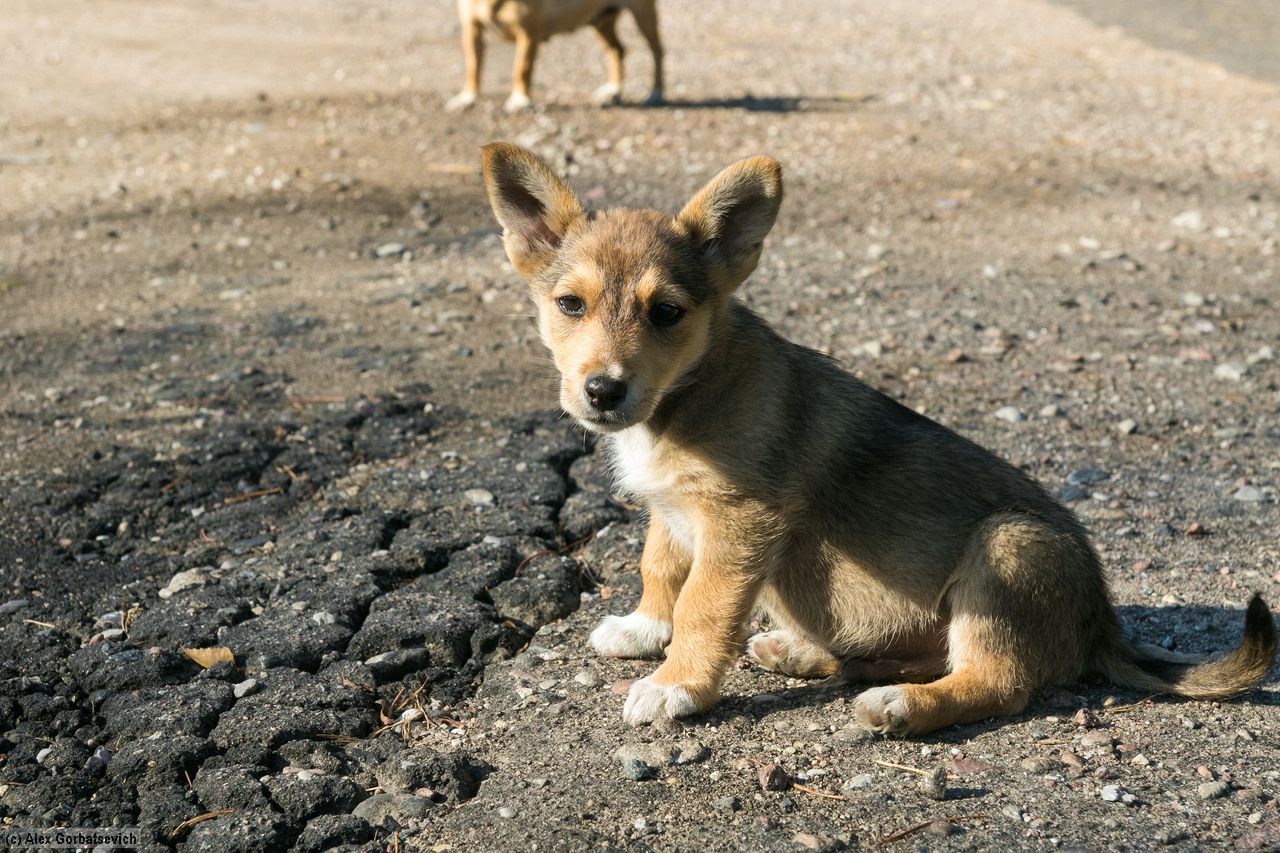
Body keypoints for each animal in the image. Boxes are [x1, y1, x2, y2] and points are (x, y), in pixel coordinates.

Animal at [447, 0, 664, 113]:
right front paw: (467, 97)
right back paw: (613, 90)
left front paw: (520, 99)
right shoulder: (471, 30)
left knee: (657, 51)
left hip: (644, 13)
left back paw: (656, 93)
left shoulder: (528, 33)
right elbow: (473, 66)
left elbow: (522, 69)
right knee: (617, 50)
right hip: (600, 21)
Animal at [478, 141, 1277, 734]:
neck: (689, 391)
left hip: (1009, 547)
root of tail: (1101, 622)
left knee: (997, 682)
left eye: (667, 312)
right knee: (915, 658)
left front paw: (676, 685)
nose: (602, 392)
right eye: (570, 305)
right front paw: (645, 629)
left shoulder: (739, 522)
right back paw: (804, 654)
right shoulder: (675, 512)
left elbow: (703, 604)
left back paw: (899, 707)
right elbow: (661, 569)